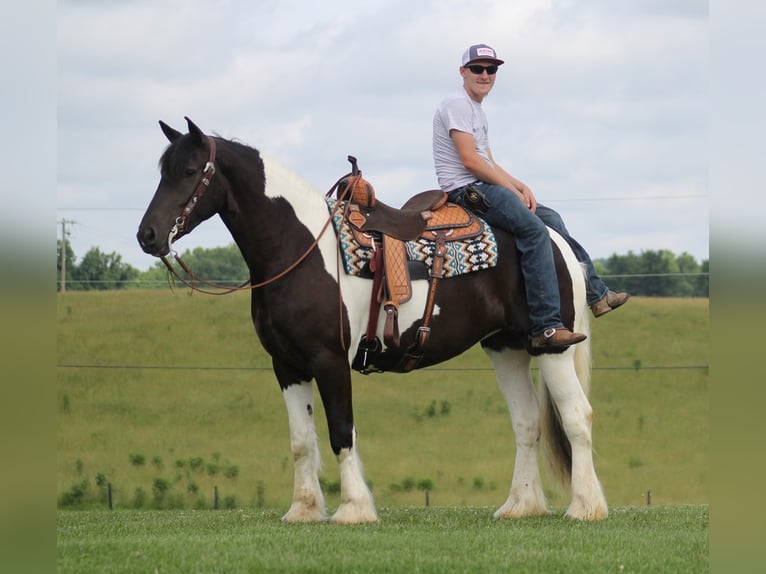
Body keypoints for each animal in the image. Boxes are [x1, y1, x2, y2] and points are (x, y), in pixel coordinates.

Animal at [135, 118, 608, 528]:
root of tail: (553, 239)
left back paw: (585, 507)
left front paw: (353, 509)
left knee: (576, 416)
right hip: (505, 347)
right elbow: (301, 441)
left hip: (551, 345)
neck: (300, 248)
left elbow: (340, 432)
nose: (148, 235)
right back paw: (520, 505)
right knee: (527, 422)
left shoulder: (329, 360)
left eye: (190, 171)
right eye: (162, 172)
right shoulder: (287, 366)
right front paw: (303, 510)